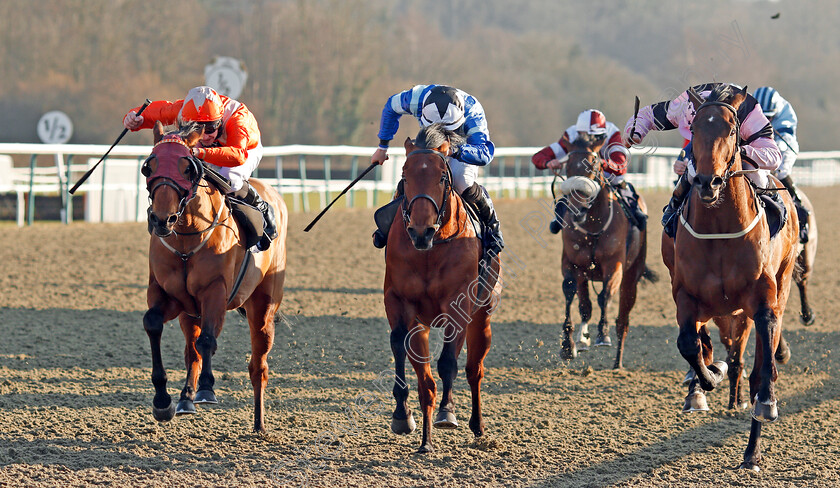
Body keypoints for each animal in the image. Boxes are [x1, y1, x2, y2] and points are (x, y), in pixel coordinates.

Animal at [143, 121, 288, 430]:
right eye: (149, 167)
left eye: (187, 167)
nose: (161, 219)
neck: (186, 238)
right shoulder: (168, 295)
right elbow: (154, 324)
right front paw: (163, 401)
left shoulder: (215, 293)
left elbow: (208, 340)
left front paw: (207, 389)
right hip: (190, 313)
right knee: (192, 352)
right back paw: (185, 398)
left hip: (263, 306)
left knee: (258, 365)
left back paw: (259, 424)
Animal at [386, 124, 502, 452]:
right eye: (404, 174)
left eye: (442, 176)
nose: (420, 231)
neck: (430, 250)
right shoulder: (398, 301)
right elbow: (400, 345)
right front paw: (404, 416)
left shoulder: (458, 305)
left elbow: (448, 361)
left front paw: (447, 413)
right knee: (422, 374)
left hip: (482, 317)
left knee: (474, 370)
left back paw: (477, 425)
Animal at [556, 132, 656, 368]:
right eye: (567, 166)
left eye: (593, 164)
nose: (578, 210)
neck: (592, 225)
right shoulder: (572, 263)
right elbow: (570, 293)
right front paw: (568, 345)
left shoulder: (614, 264)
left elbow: (605, 296)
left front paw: (603, 334)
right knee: (585, 306)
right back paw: (583, 339)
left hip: (632, 275)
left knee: (623, 320)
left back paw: (617, 362)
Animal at [660, 85, 796, 472]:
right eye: (695, 128)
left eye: (732, 130)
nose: (708, 181)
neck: (719, 228)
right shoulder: (686, 295)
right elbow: (690, 345)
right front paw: (707, 379)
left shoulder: (762, 299)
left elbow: (761, 366)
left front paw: (765, 403)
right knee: (706, 344)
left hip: (782, 287)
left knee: (761, 361)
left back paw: (751, 451)